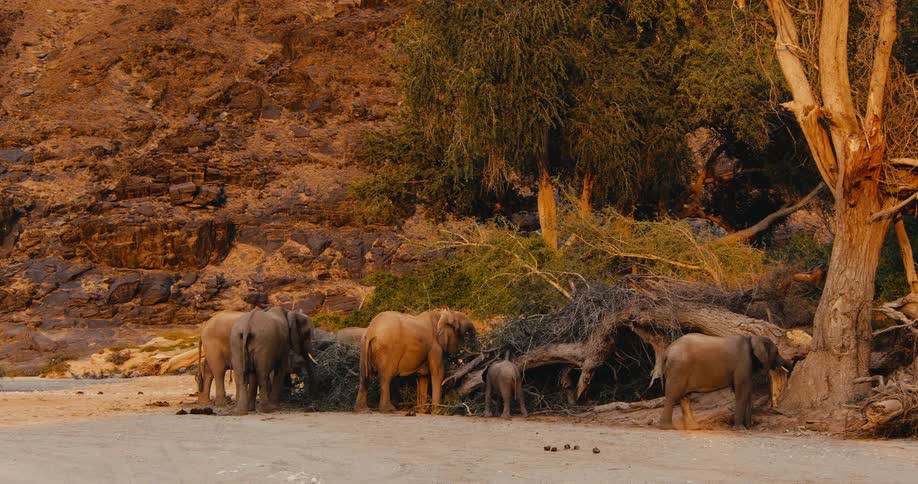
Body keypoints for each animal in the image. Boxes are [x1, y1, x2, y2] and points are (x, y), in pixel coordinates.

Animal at [659, 333, 793, 431]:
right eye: (777, 352)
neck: (752, 337)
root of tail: (667, 351)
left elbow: (746, 391)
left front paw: (747, 427)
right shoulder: (743, 362)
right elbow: (742, 390)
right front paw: (740, 430)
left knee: (685, 398)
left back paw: (694, 428)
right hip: (679, 368)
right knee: (673, 395)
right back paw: (668, 427)